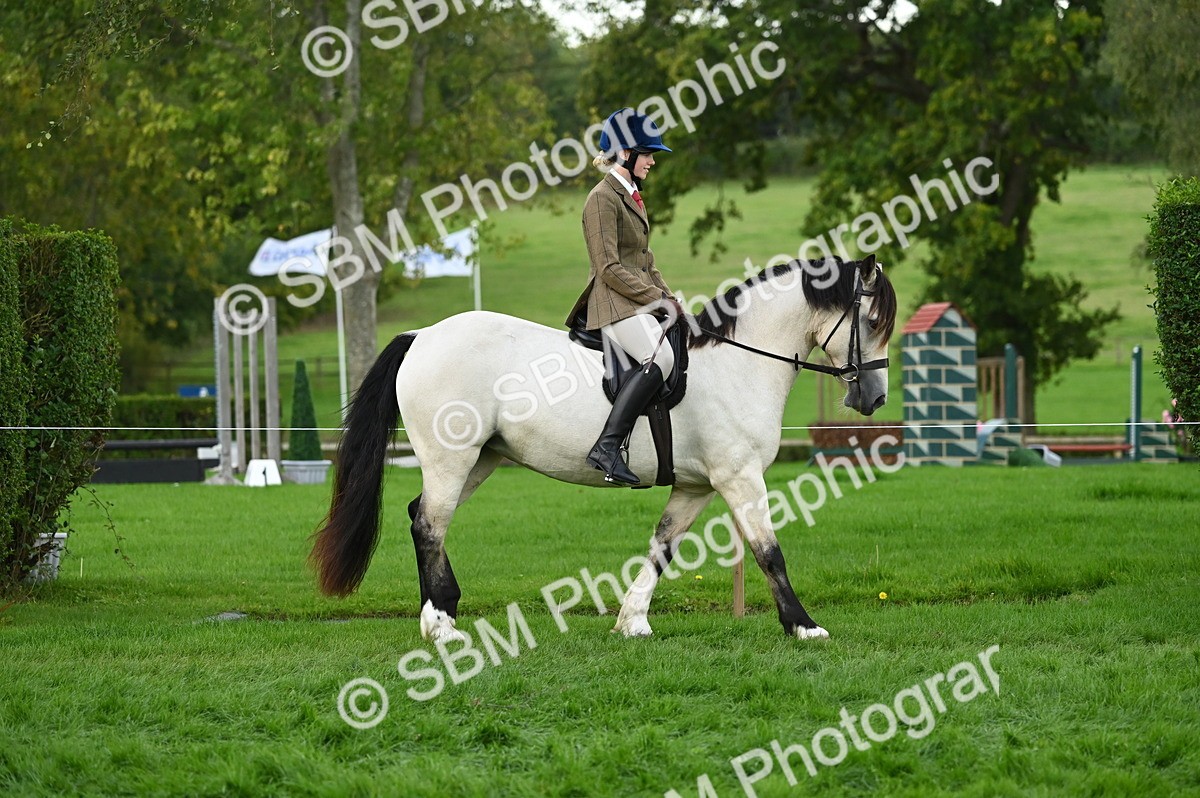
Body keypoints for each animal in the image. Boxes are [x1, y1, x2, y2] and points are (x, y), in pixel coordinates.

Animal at [310, 254, 897, 642]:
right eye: (871, 321)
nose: (874, 396)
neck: (739, 358)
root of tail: (423, 335)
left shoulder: (697, 487)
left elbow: (662, 547)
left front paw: (632, 621)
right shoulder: (740, 476)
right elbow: (768, 551)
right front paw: (803, 626)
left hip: (480, 459)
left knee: (422, 516)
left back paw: (445, 610)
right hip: (451, 458)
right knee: (430, 524)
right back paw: (440, 627)